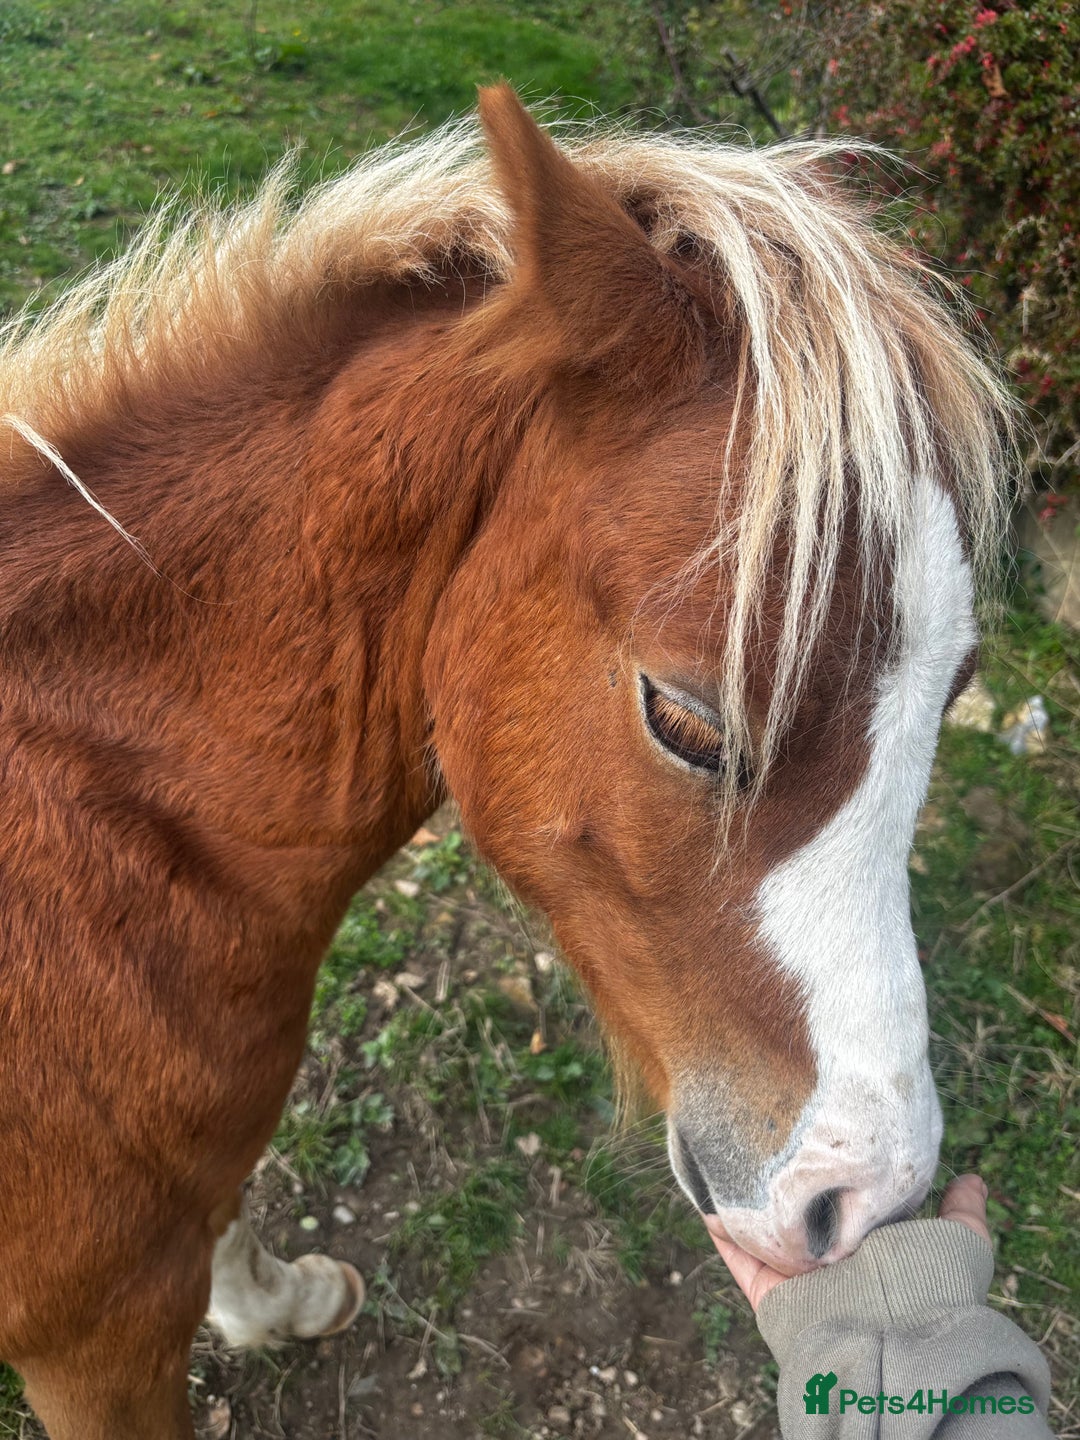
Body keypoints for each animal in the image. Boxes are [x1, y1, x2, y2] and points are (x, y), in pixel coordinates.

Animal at [0, 85, 1014, 1437]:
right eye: (687, 718)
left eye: (951, 691)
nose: (864, 1202)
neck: (111, 826)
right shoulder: (94, 1340)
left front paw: (271, 1301)